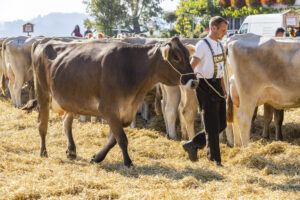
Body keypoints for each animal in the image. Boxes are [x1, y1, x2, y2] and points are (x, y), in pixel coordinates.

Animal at [31, 36, 198, 166]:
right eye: (176, 57)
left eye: (188, 56)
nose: (194, 82)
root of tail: (43, 41)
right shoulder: (108, 109)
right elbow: (121, 138)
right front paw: (128, 162)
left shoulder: (125, 111)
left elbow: (113, 139)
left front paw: (97, 157)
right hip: (43, 93)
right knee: (42, 125)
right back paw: (43, 152)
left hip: (71, 101)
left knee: (66, 123)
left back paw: (71, 150)